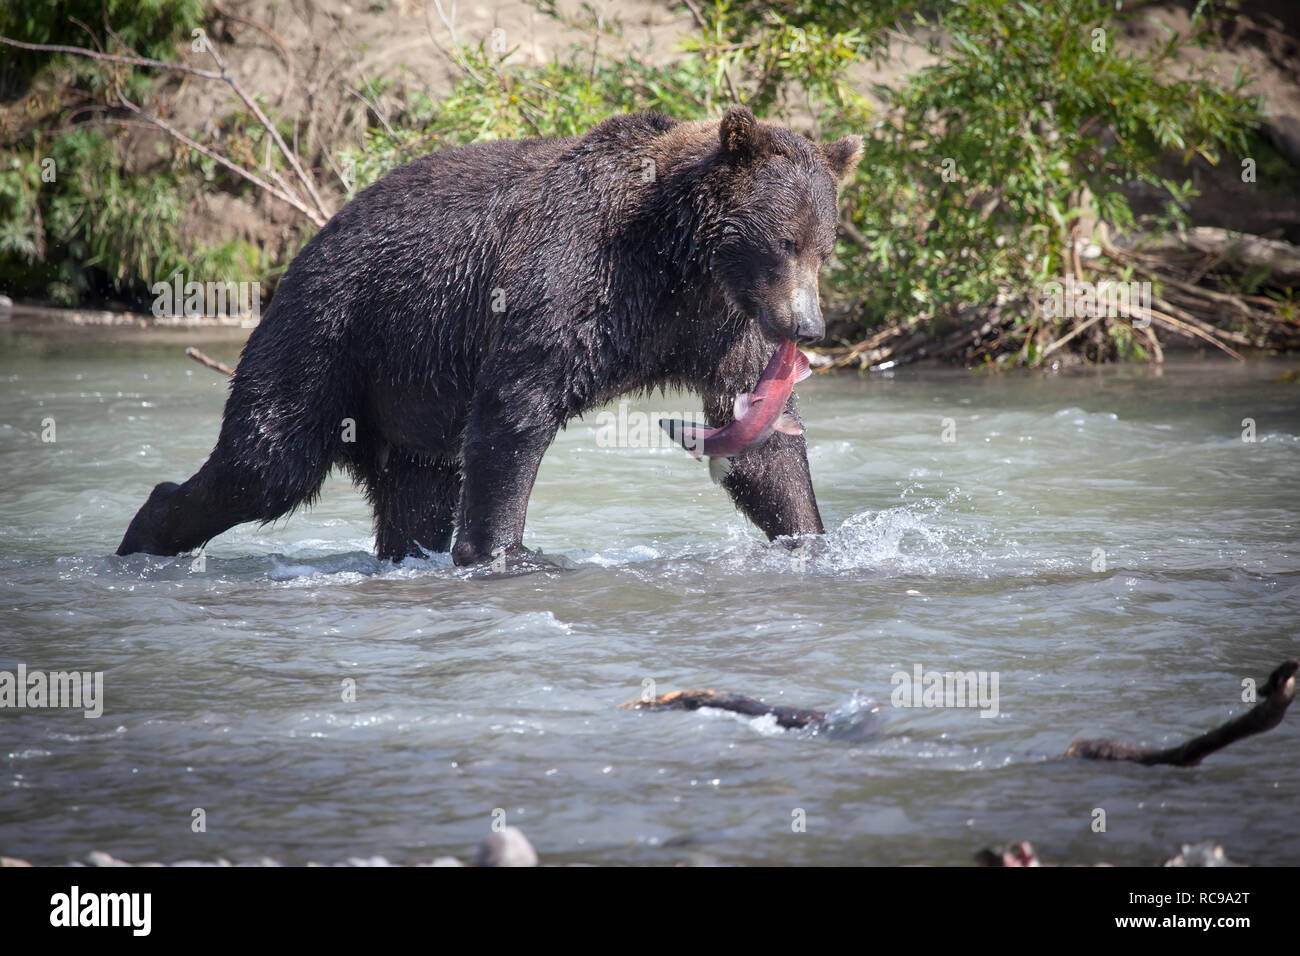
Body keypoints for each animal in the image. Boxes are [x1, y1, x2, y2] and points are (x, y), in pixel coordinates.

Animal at [116, 106, 862, 566]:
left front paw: (811, 538)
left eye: (824, 248)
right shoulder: (572, 274)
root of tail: (311, 238)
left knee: (414, 494)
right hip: (332, 332)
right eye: (784, 240)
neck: (676, 258)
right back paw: (146, 529)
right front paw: (500, 551)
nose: (808, 326)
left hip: (405, 396)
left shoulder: (717, 325)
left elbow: (761, 445)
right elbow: (517, 406)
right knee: (268, 459)